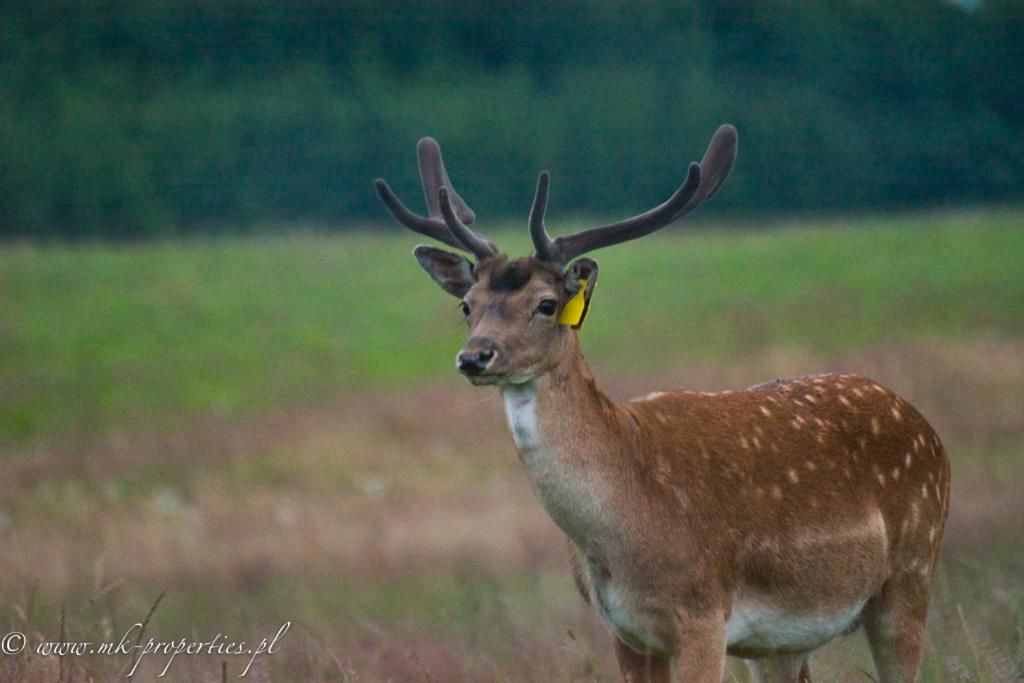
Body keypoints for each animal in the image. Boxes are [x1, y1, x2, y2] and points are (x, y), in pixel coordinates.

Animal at [374, 125, 950, 679]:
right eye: (467, 306)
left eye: (547, 304)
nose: (475, 356)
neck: (623, 530)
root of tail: (929, 432)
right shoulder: (623, 630)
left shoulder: (704, 613)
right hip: (782, 643)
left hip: (911, 574)